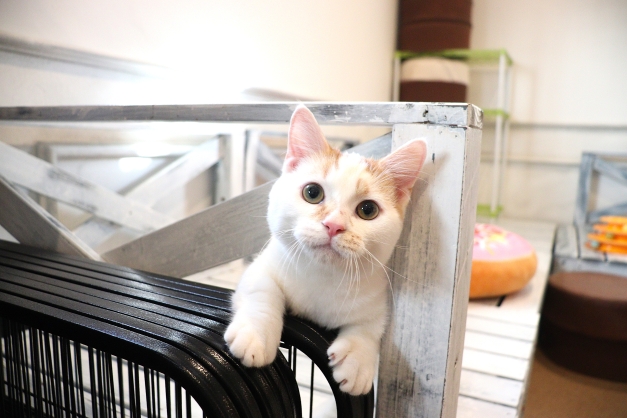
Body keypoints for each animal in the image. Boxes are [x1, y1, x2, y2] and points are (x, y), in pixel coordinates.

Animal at [224, 105, 427, 396]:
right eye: (312, 192)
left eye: (368, 210)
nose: (333, 225)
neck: (323, 275)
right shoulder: (263, 266)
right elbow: (262, 290)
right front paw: (256, 334)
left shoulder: (376, 293)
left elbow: (371, 325)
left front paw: (357, 358)